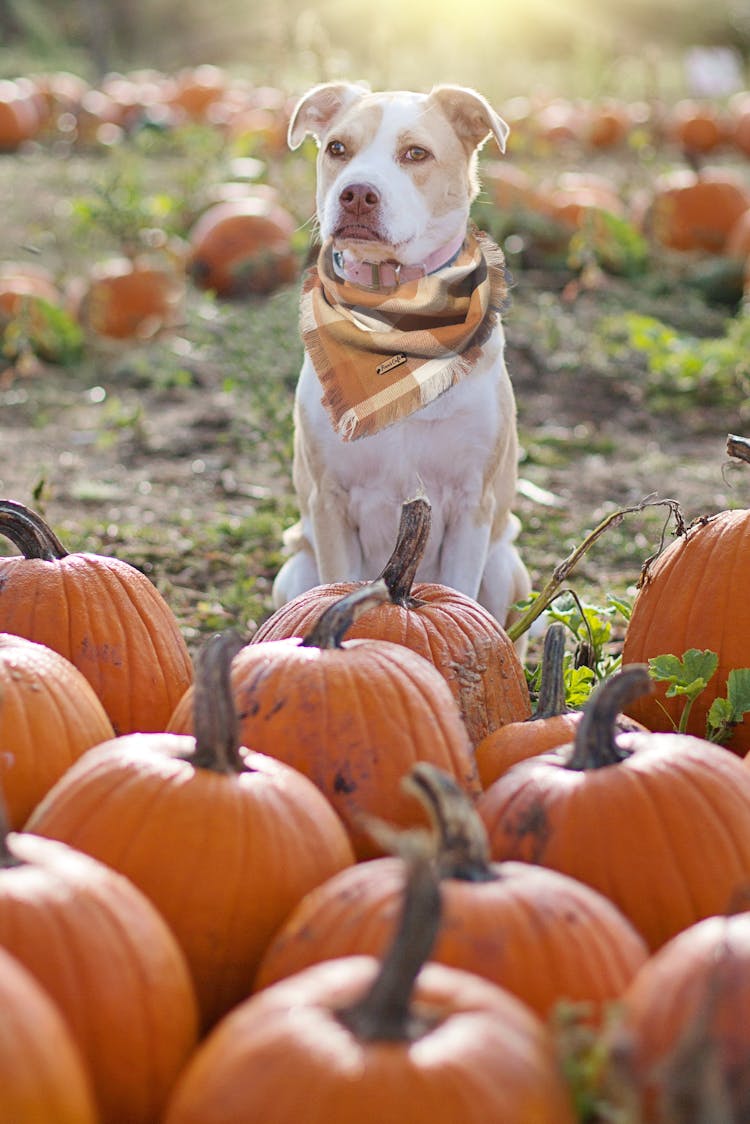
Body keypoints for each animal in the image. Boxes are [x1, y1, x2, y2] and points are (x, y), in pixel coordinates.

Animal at [273, 81, 530, 633]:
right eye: (337, 148)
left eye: (416, 154)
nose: (356, 193)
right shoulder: (330, 502)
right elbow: (336, 585)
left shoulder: (470, 504)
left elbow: (462, 596)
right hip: (294, 570)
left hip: (505, 564)